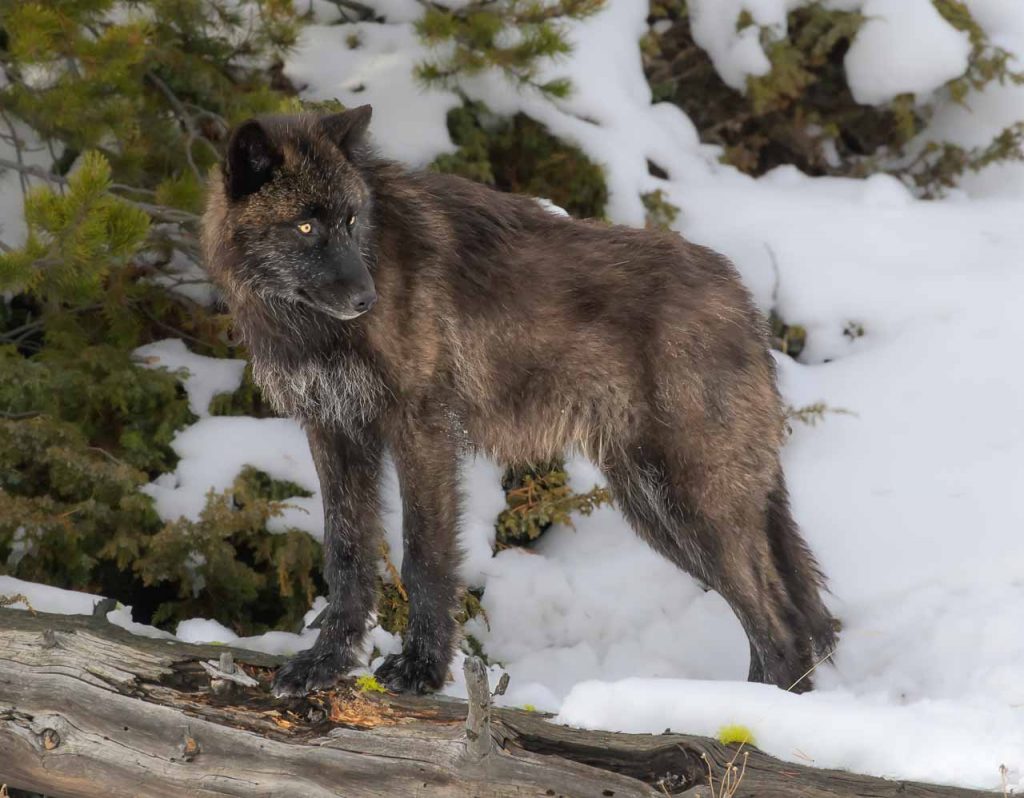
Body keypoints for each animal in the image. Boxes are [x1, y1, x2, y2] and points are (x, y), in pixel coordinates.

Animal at [201, 106, 838, 696]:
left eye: (351, 220)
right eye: (307, 227)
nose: (366, 298)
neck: (311, 328)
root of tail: (744, 299)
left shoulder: (421, 430)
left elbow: (424, 555)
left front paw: (421, 671)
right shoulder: (333, 432)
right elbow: (346, 554)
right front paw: (325, 665)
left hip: (693, 501)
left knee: (781, 627)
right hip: (655, 507)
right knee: (775, 622)